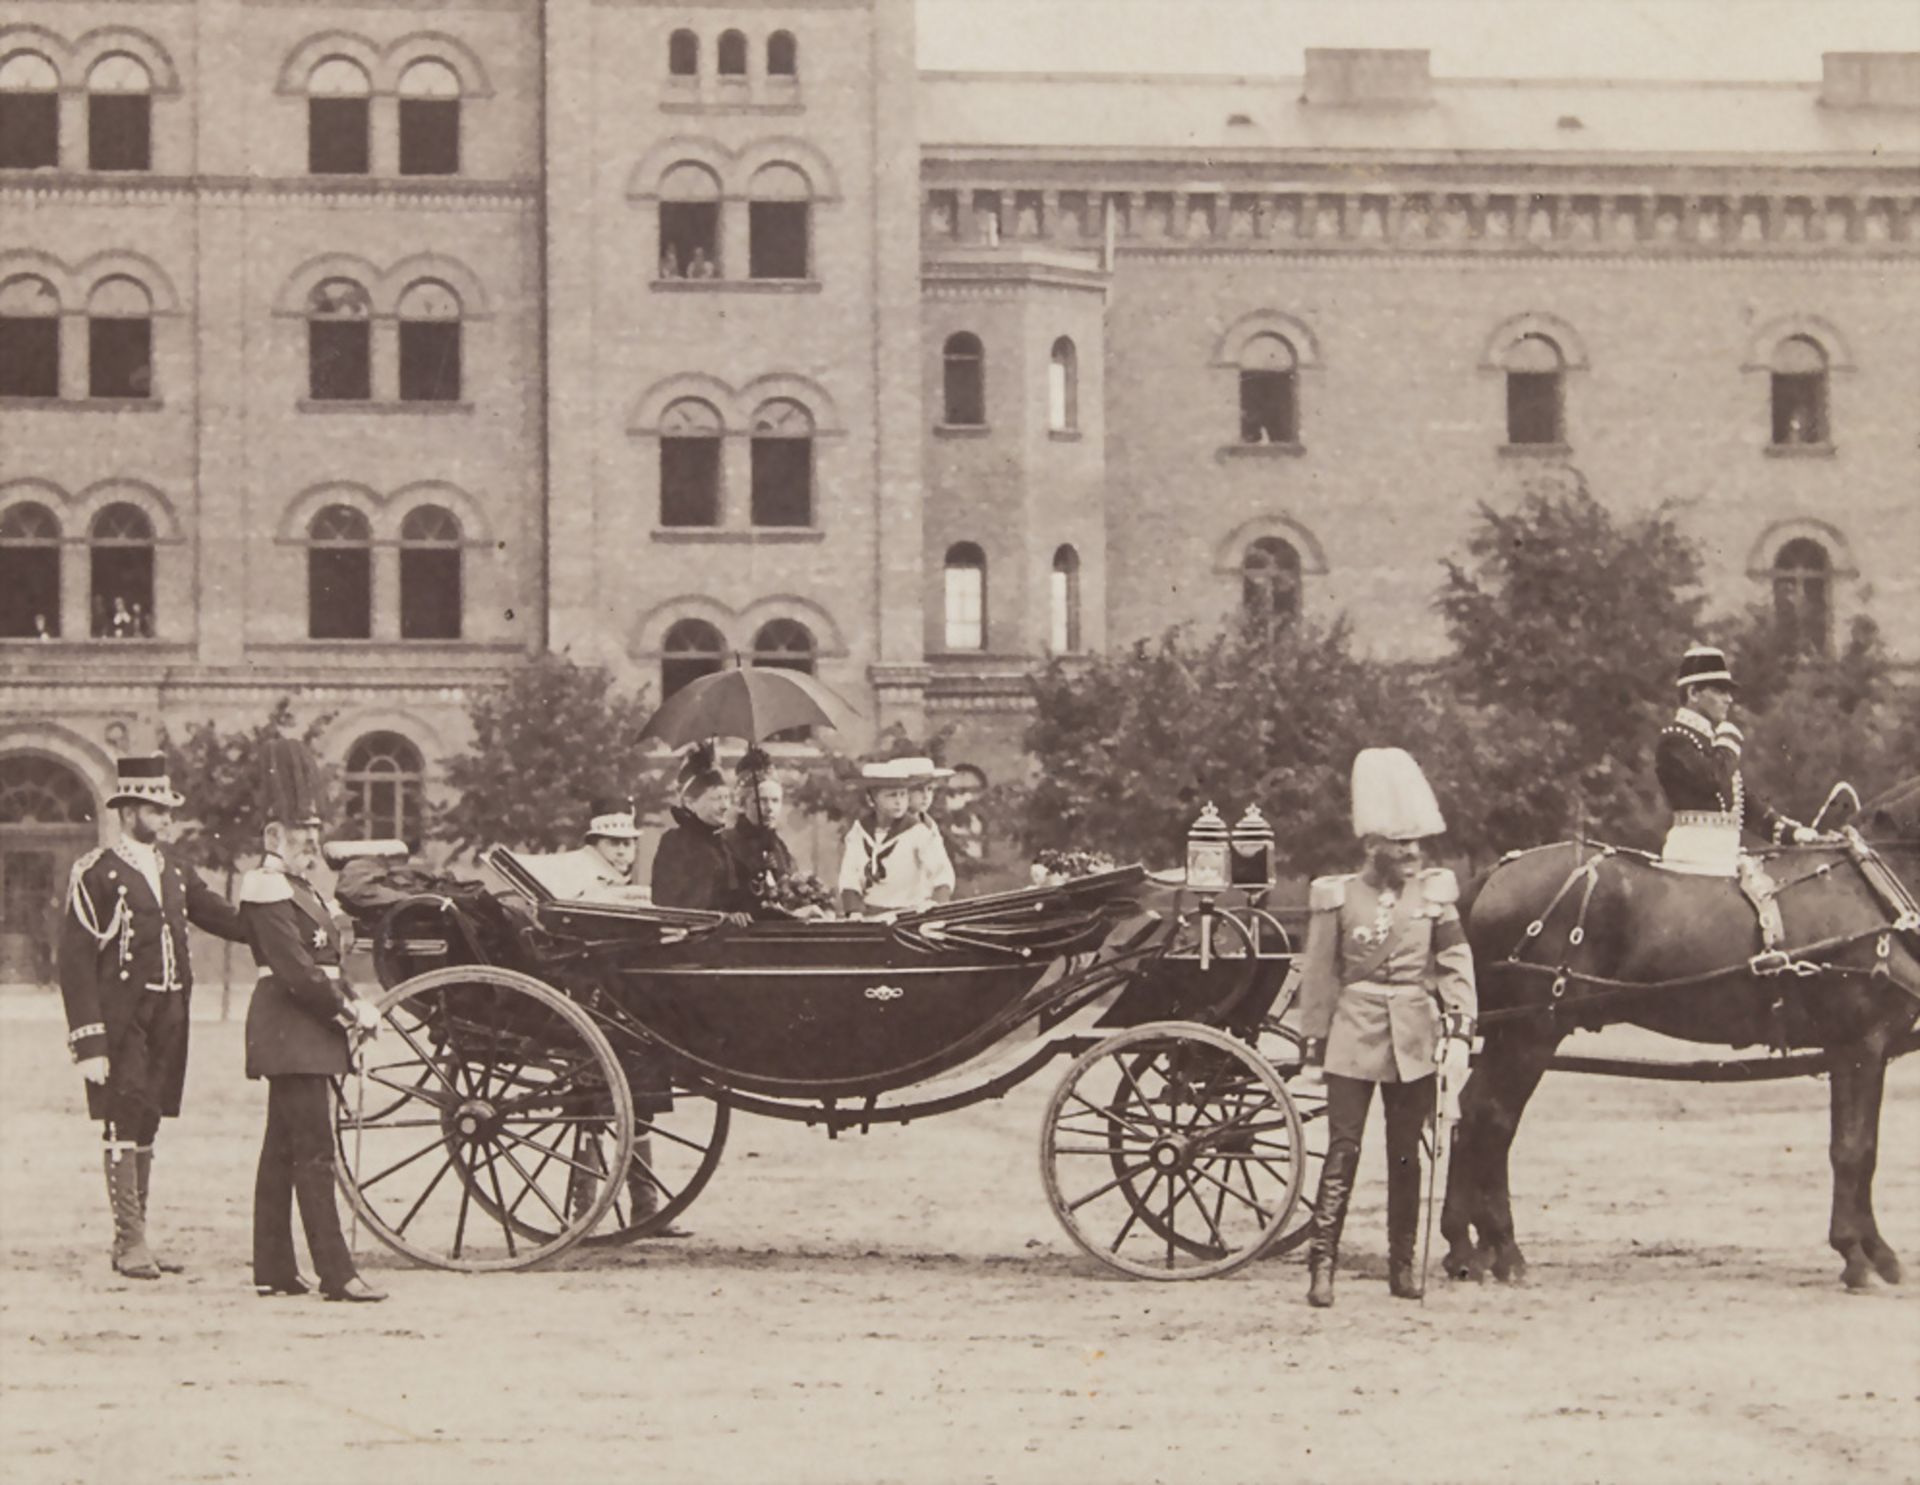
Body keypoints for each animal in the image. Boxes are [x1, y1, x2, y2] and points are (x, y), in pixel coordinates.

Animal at [1443, 776, 1920, 1283]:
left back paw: (1467, 1247)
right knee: (1493, 1118)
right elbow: (1853, 1149)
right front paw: (1855, 1254)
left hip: (1508, 1034)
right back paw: (1500, 1248)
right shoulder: (1857, 1045)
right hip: (1530, 1033)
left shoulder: (1867, 1050)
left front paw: (1877, 1251)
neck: (1869, 894)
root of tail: (1495, 872)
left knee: (1471, 1114)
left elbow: (1865, 1149)